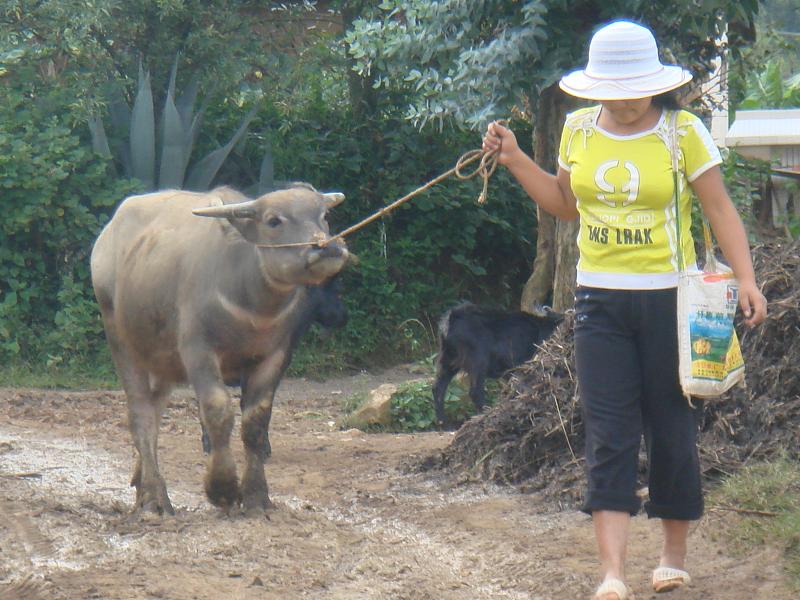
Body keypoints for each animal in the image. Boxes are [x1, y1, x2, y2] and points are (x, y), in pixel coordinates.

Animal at [90, 184, 346, 516]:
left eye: (323, 215)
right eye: (274, 220)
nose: (327, 248)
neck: (251, 305)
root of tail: (105, 239)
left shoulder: (275, 356)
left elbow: (256, 421)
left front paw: (256, 497)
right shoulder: (198, 352)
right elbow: (217, 410)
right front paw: (222, 489)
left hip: (161, 362)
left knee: (155, 412)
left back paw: (142, 485)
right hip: (121, 341)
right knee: (140, 415)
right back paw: (156, 499)